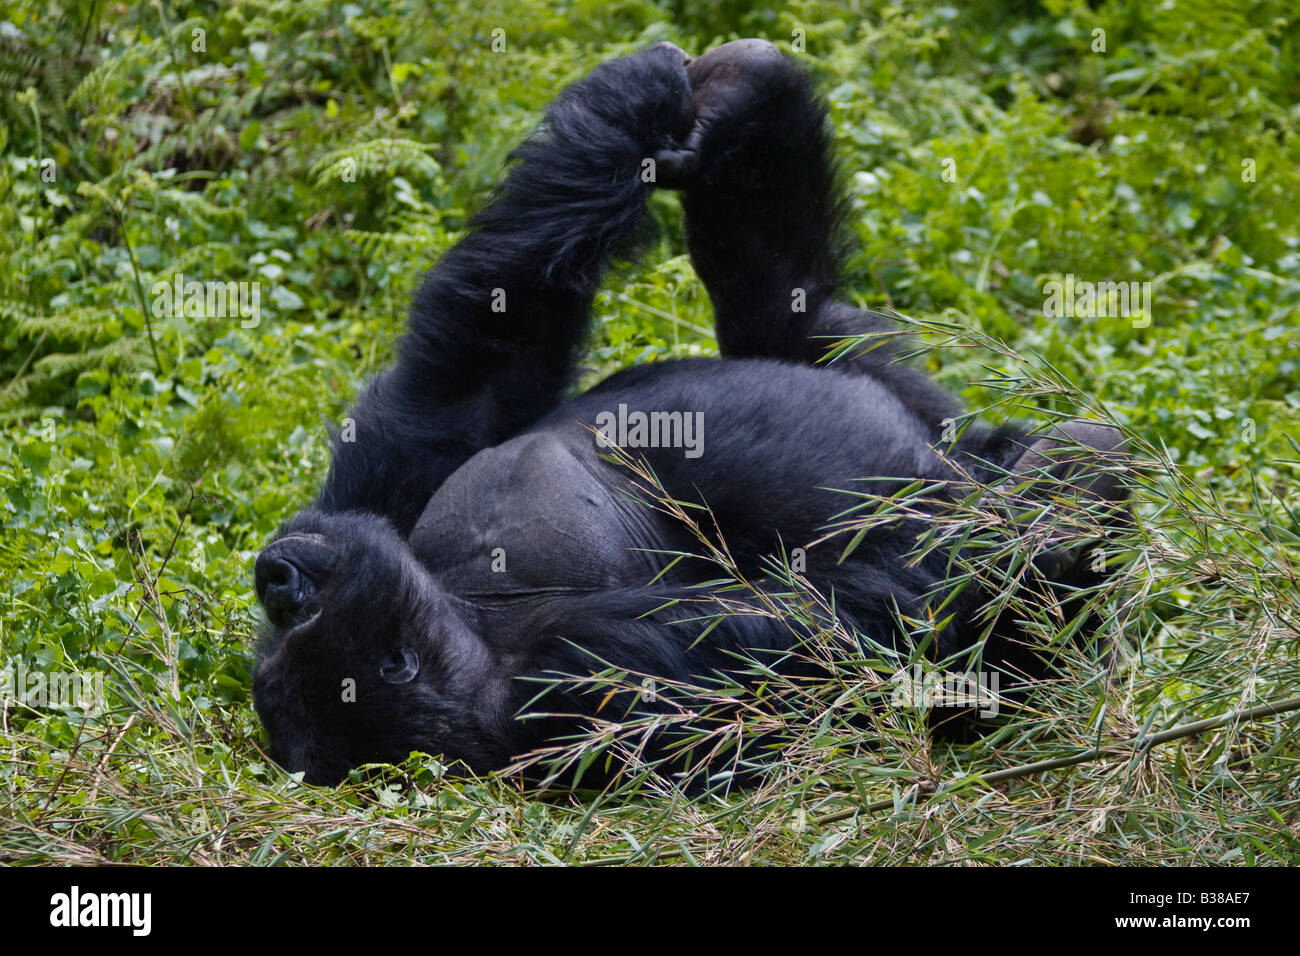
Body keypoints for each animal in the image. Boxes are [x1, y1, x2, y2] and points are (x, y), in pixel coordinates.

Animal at [253, 39, 1128, 785]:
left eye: (282, 619)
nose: (276, 576)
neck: (470, 614)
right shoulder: (598, 675)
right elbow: (890, 613)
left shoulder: (375, 492)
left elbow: (473, 372)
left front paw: (625, 105)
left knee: (800, 318)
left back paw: (740, 103)